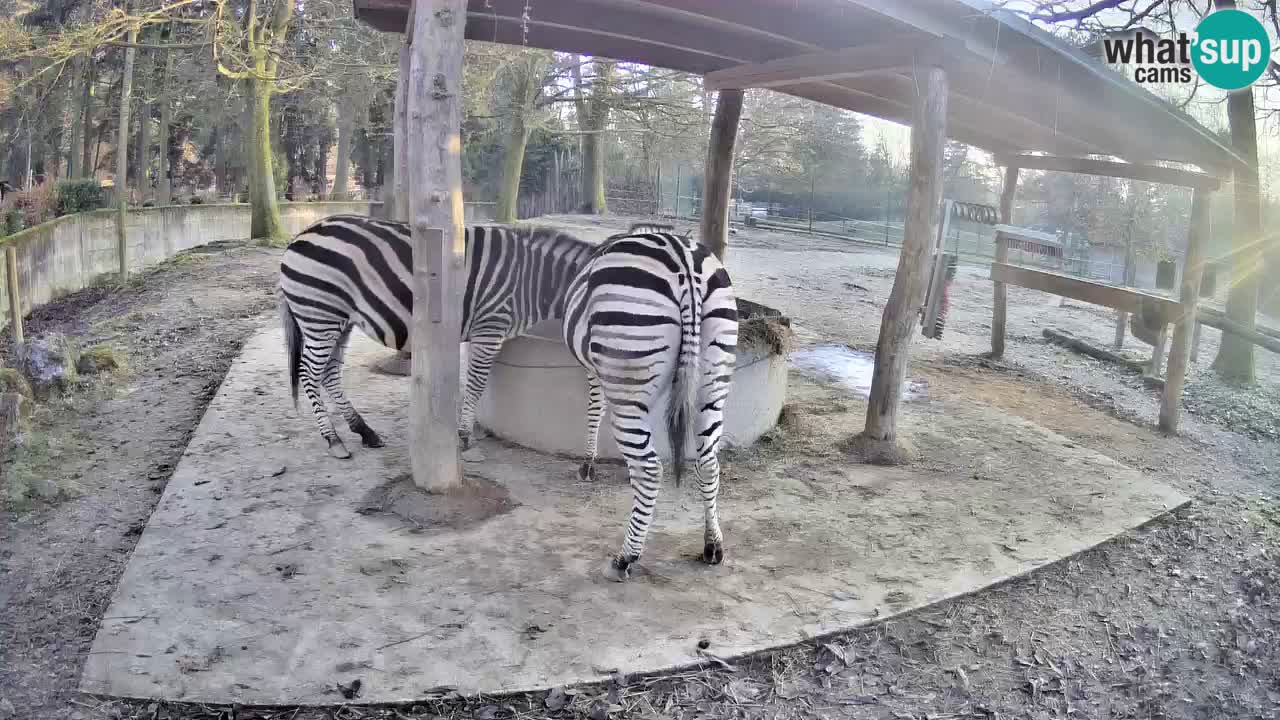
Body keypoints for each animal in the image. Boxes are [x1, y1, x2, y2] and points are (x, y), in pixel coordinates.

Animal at [278, 214, 596, 459]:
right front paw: (464, 438)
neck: (530, 280)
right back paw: (334, 440)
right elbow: (476, 384)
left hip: (339, 320)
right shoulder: (489, 327)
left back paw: (365, 431)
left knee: (329, 373)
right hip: (320, 314)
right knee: (309, 373)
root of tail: (298, 236)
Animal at [562, 229, 738, 581]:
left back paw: (626, 557)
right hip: (713, 381)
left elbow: (595, 411)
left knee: (650, 468)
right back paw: (712, 545)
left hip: (628, 361)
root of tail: (685, 264)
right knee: (708, 463)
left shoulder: (596, 371)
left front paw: (588, 464)